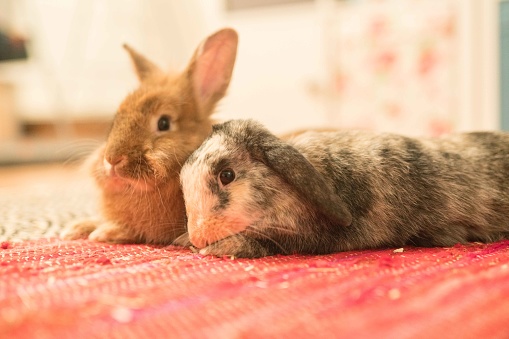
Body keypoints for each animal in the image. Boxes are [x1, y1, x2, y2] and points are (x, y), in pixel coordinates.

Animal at [175, 119, 508, 258]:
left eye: (227, 175)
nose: (198, 236)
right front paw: (184, 242)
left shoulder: (318, 236)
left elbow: (273, 243)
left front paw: (220, 249)